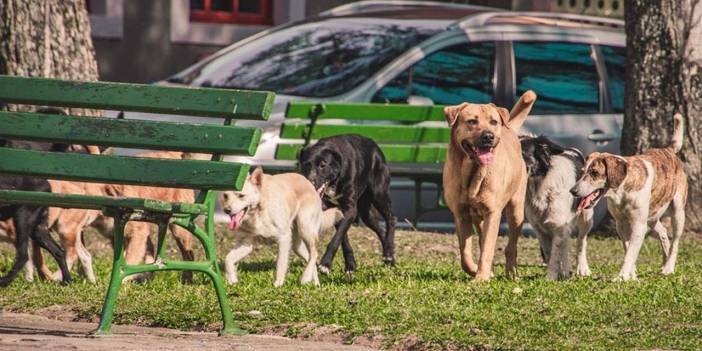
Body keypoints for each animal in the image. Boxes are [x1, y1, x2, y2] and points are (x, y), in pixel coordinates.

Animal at [298, 133, 396, 274]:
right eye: (306, 165)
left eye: (322, 165)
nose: (310, 183)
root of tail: (376, 147)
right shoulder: (336, 211)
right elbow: (343, 239)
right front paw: (350, 265)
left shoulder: (350, 210)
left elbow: (336, 238)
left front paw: (325, 264)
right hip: (366, 213)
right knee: (380, 229)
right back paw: (390, 257)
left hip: (379, 194)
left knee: (391, 218)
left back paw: (388, 252)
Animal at [446, 91, 540, 284]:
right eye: (472, 121)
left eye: (493, 122)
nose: (488, 136)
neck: (473, 172)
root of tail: (509, 129)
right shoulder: (461, 215)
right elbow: (465, 254)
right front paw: (477, 271)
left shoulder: (493, 213)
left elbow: (487, 250)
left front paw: (481, 277)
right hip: (479, 217)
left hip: (516, 211)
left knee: (511, 247)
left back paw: (511, 273)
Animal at [524, 135, 592, 280]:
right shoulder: (540, 229)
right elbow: (550, 252)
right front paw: (558, 274)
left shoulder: (558, 225)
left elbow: (555, 255)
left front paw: (550, 278)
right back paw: (567, 271)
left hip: (586, 217)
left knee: (581, 241)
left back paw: (582, 269)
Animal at [572, 114, 688, 282]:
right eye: (582, 172)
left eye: (594, 173)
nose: (573, 191)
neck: (621, 192)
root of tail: (668, 150)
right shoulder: (621, 224)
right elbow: (628, 249)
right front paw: (632, 275)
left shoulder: (638, 225)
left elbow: (630, 252)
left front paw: (621, 277)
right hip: (652, 217)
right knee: (663, 233)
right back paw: (664, 262)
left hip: (678, 213)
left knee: (676, 242)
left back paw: (669, 267)